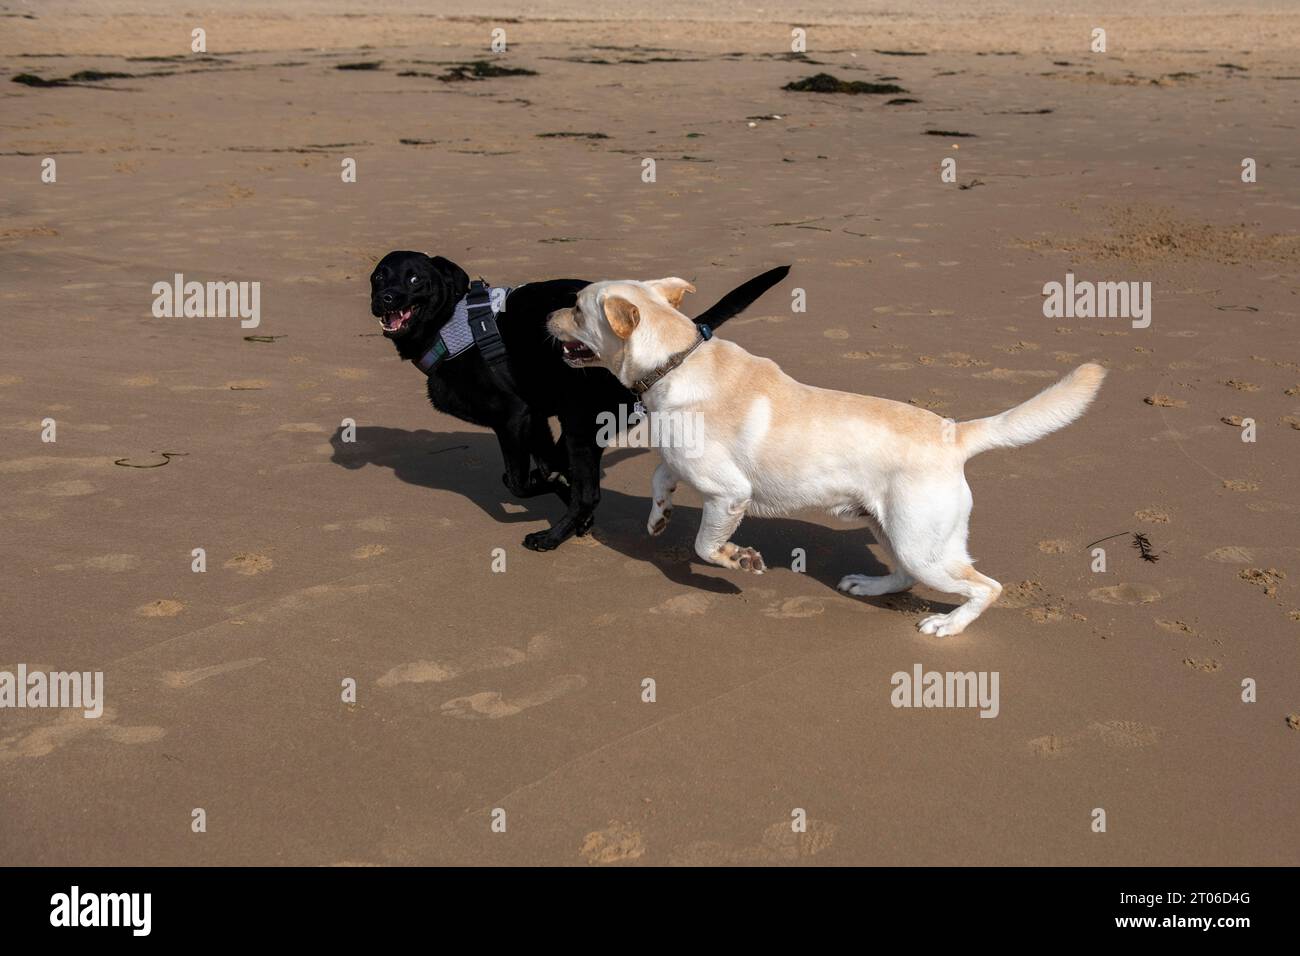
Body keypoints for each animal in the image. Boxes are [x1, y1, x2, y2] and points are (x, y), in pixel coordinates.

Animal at [371, 254, 785, 554]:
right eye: (378, 277)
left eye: (414, 279)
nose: (385, 298)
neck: (448, 327)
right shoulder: (534, 417)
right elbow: (544, 470)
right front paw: (561, 491)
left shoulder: (513, 416)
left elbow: (518, 481)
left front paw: (556, 498)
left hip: (578, 420)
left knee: (587, 492)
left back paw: (551, 537)